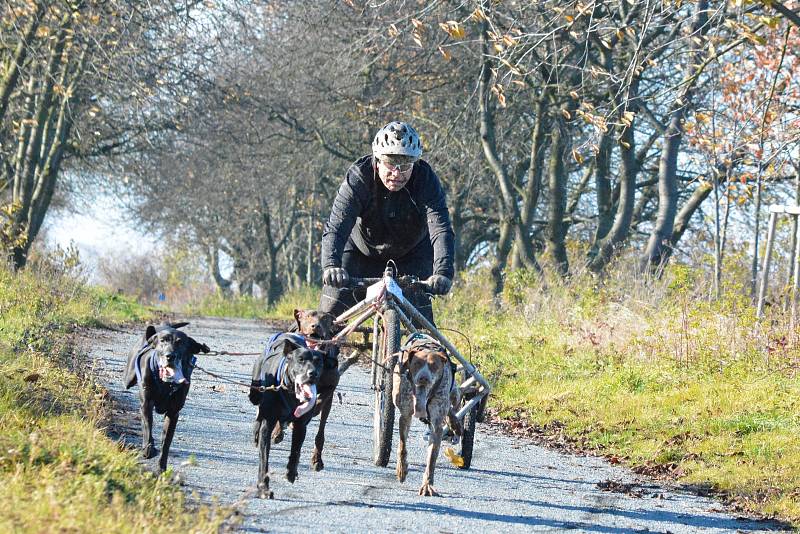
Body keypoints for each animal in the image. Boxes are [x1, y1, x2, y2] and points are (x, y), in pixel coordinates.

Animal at [122, 322, 209, 474]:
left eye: (180, 343)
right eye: (163, 341)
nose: (170, 356)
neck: (166, 383)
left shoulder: (173, 413)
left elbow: (166, 442)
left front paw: (161, 467)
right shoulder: (146, 404)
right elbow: (147, 426)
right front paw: (148, 449)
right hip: (129, 379)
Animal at [250, 336, 324, 502]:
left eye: (319, 362)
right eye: (301, 359)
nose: (313, 373)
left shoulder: (301, 425)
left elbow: (296, 451)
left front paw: (291, 472)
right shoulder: (268, 424)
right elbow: (264, 459)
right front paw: (263, 489)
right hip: (255, 393)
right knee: (258, 411)